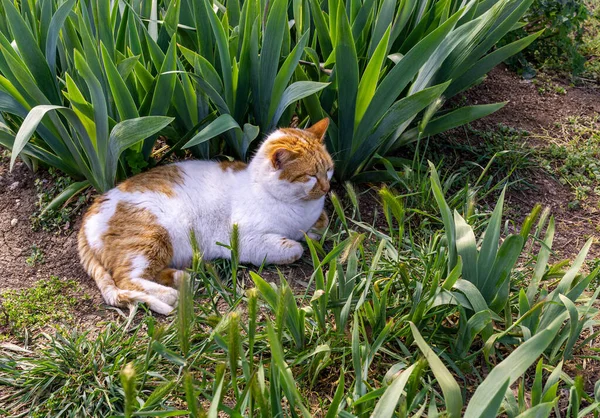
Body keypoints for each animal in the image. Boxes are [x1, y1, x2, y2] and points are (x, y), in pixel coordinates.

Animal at [77, 117, 332, 314]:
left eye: (329, 169)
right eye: (310, 176)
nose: (327, 188)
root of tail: (92, 208)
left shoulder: (316, 217)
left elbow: (321, 223)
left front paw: (310, 232)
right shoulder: (242, 239)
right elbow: (294, 248)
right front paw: (298, 242)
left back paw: (183, 277)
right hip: (150, 238)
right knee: (126, 278)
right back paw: (169, 294)